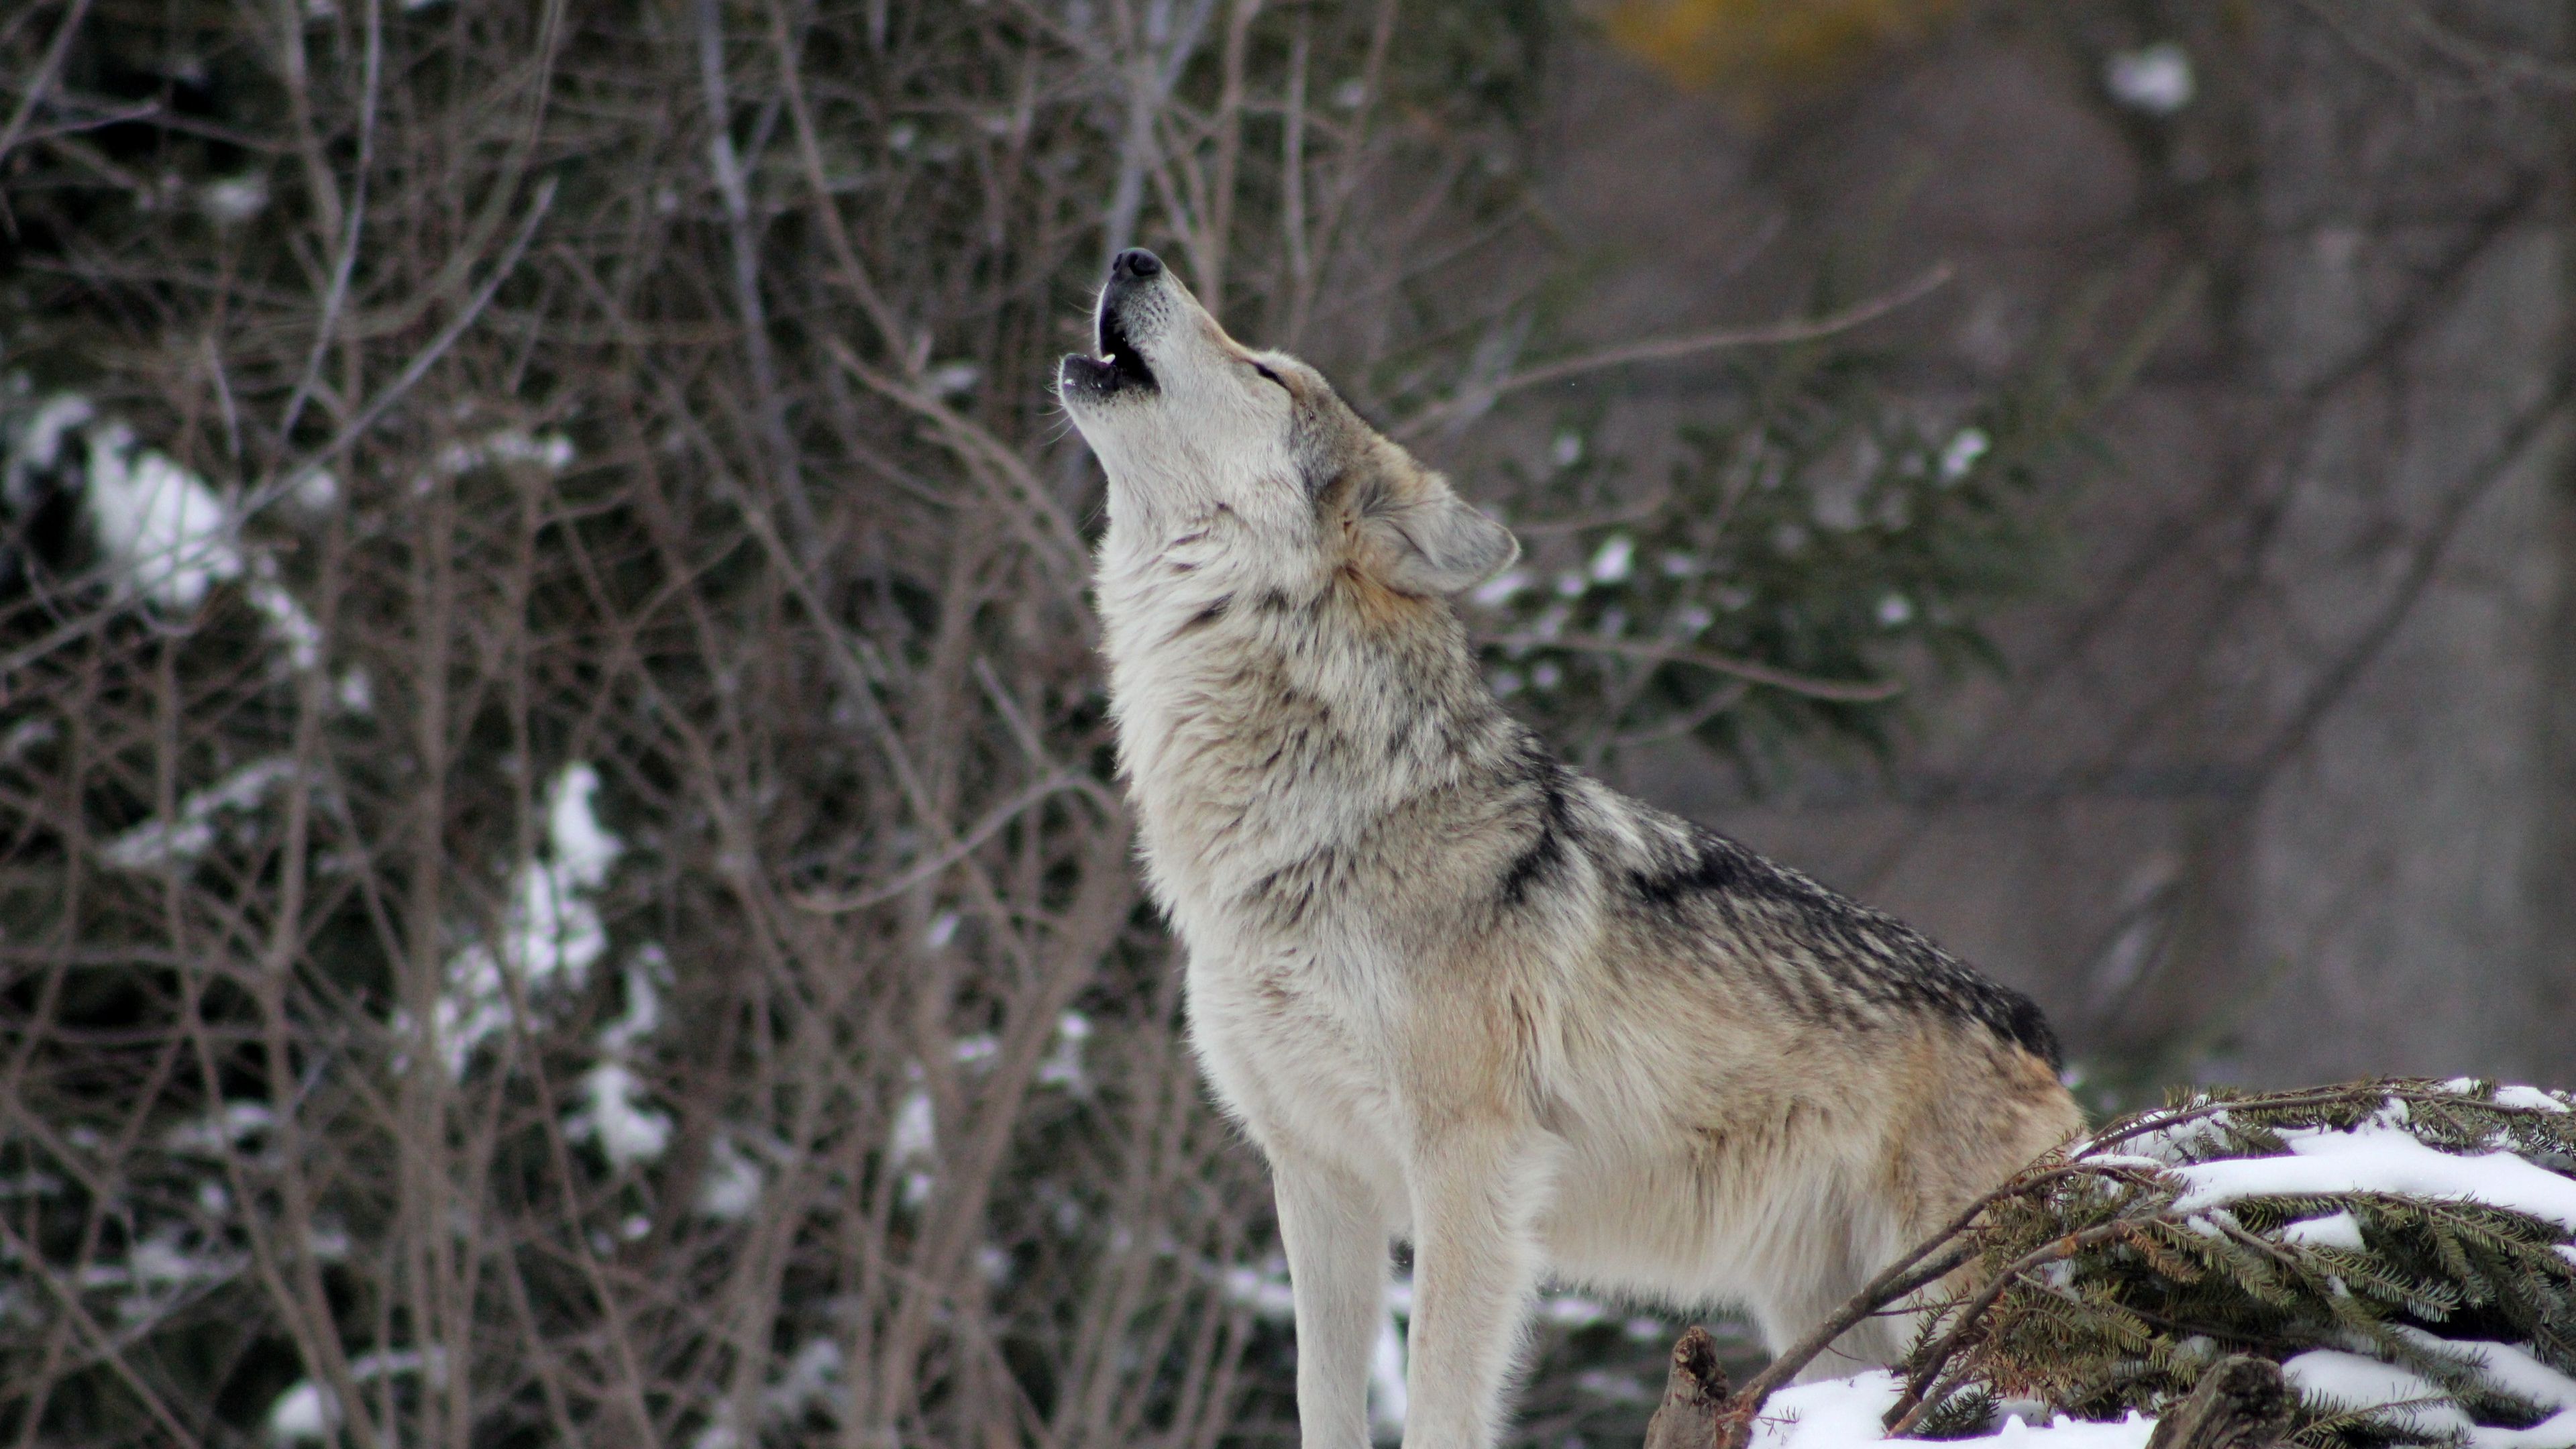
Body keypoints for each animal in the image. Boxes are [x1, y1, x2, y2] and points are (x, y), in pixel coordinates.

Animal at [1056, 247, 2081, 1444]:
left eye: (1267, 370)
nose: (1133, 256)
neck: (1313, 825)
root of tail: (2032, 1029)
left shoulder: (1470, 1167)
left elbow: (1440, 1402)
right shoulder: (1316, 1179)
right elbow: (1324, 1404)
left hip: (1940, 1304)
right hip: (1829, 1323)